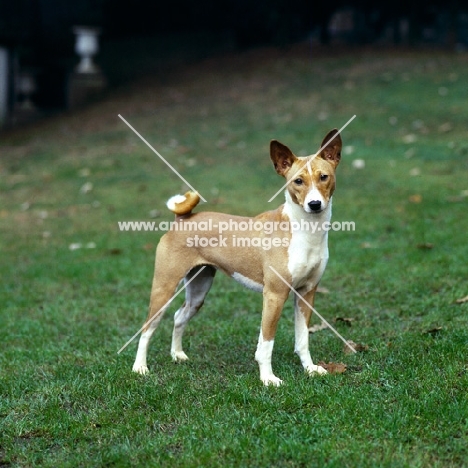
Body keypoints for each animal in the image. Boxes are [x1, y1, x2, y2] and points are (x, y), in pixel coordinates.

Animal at [133, 130, 342, 386]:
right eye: (298, 181)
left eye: (324, 177)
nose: (314, 204)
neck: (306, 231)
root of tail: (182, 219)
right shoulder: (274, 295)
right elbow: (266, 344)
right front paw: (268, 379)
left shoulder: (306, 293)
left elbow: (302, 339)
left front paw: (310, 369)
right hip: (164, 288)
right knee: (147, 328)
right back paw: (140, 367)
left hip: (198, 290)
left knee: (179, 316)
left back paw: (177, 354)